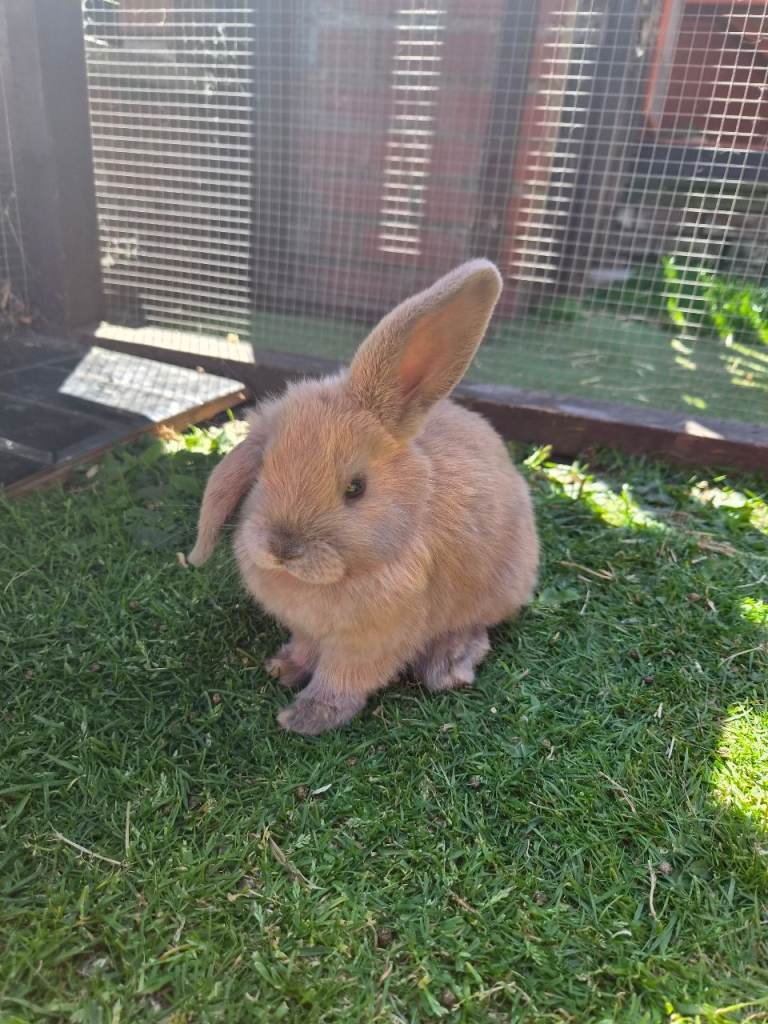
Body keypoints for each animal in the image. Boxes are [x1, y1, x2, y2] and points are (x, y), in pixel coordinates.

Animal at [188, 260, 539, 735]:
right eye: (262, 471)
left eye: (356, 488)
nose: (282, 548)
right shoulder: (307, 629)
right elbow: (305, 648)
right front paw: (283, 667)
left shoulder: (370, 643)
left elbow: (342, 679)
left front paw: (306, 717)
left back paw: (448, 666)